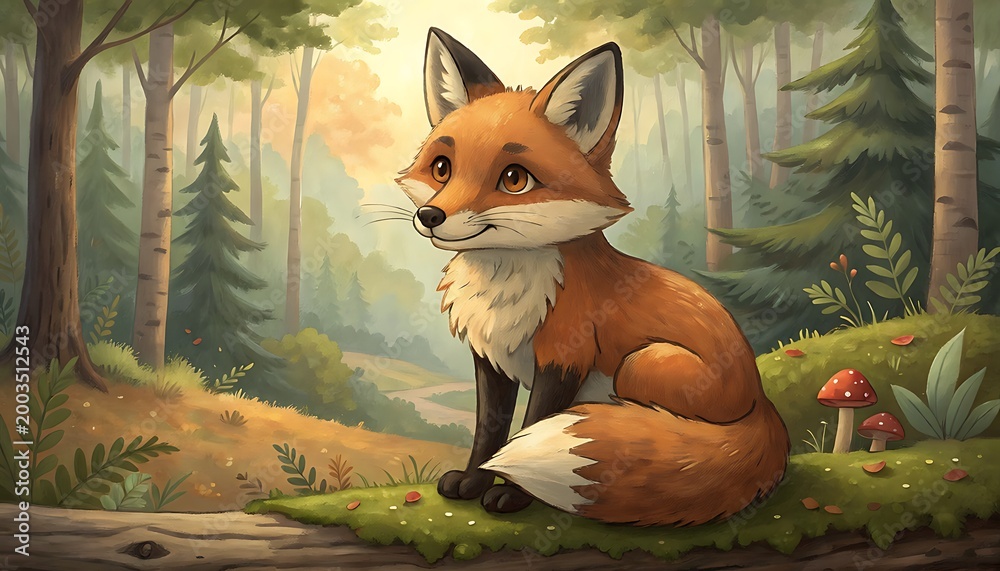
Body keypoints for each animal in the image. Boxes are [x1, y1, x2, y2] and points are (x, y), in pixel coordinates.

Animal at [394, 28, 790, 526]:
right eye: (442, 168)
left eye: (514, 179)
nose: (430, 216)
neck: (505, 292)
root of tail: (761, 400)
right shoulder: (492, 358)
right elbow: (489, 431)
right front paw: (473, 480)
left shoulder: (566, 355)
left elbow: (530, 425)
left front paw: (513, 495)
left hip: (642, 363)